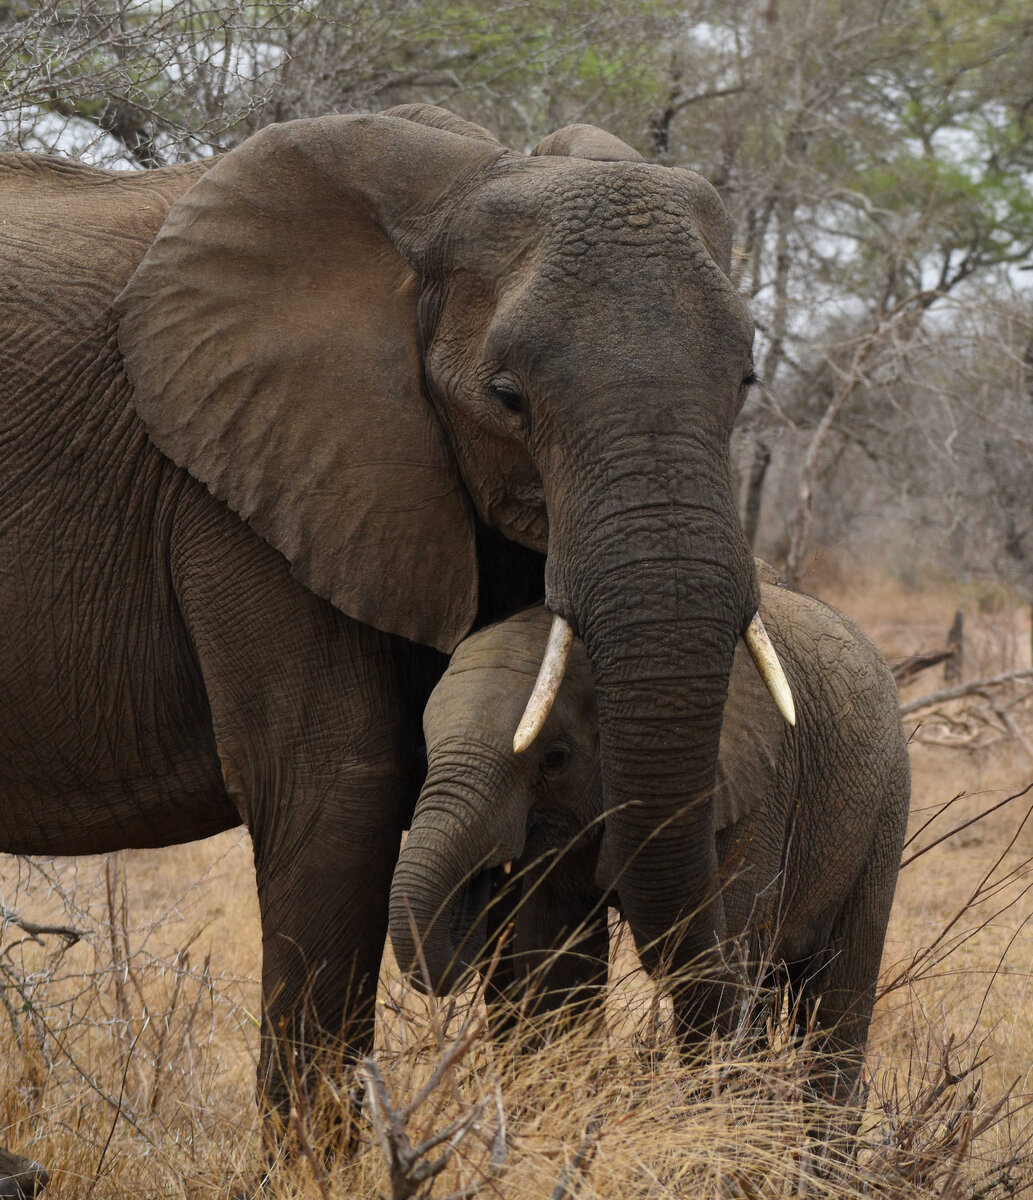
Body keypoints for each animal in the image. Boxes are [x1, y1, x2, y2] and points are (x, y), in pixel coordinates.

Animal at [391, 580, 907, 1104]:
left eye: (554, 758)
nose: (485, 880)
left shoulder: (758, 791)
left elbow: (725, 955)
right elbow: (557, 965)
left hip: (886, 801)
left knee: (838, 991)